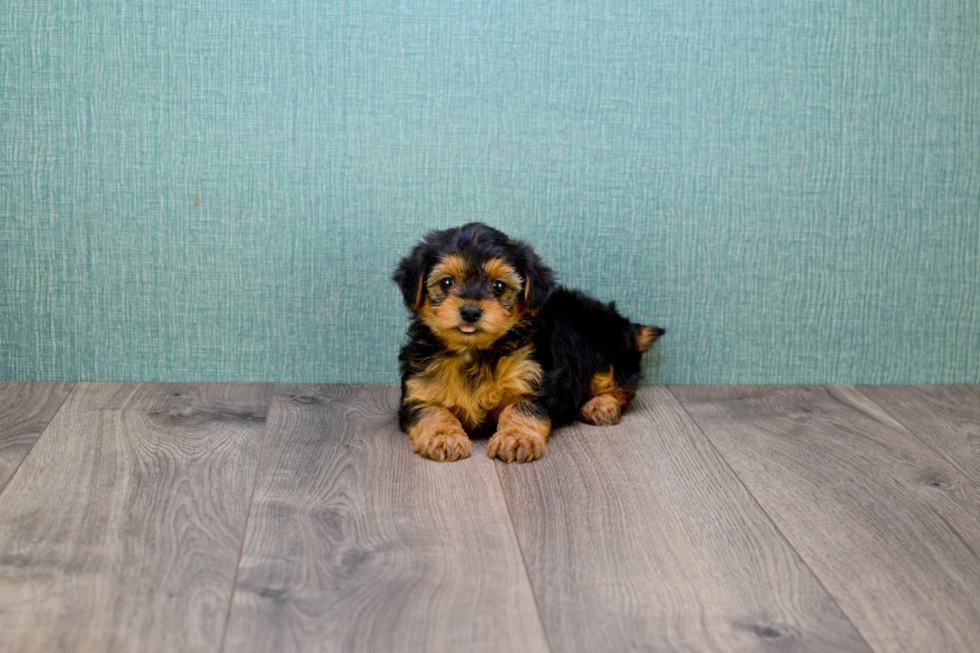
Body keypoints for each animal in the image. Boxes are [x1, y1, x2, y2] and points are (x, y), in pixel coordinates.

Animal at [394, 224, 664, 464]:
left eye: (499, 286)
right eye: (447, 283)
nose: (470, 311)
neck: (475, 352)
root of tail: (624, 325)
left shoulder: (535, 378)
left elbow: (522, 408)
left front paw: (515, 438)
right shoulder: (419, 387)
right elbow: (429, 410)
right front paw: (443, 436)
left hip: (607, 351)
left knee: (621, 387)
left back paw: (602, 405)